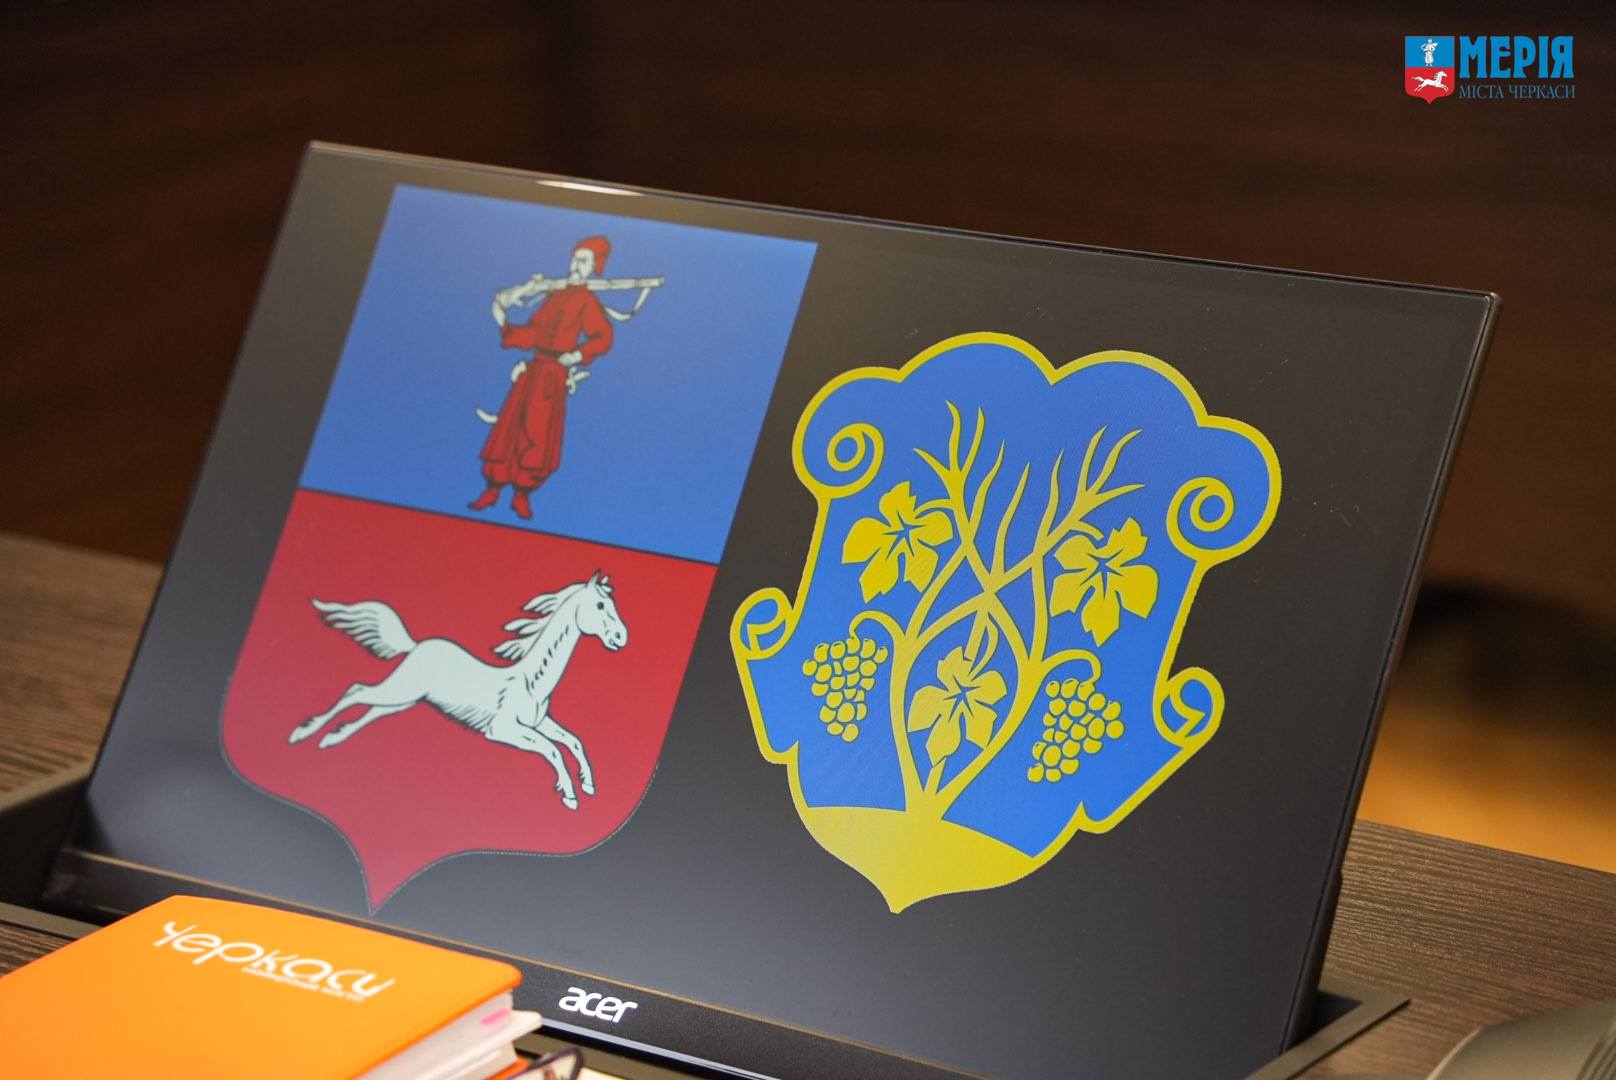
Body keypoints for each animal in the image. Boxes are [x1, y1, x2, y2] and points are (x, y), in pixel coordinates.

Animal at [288, 571, 627, 811]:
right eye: (600, 605)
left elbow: (574, 742)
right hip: (398, 690)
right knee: (355, 691)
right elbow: (552, 749)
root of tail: (416, 645)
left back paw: (333, 738)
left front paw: (588, 785)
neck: (533, 681)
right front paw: (569, 795)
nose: (622, 637)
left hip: (405, 699)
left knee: (371, 710)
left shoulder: (540, 722)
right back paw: (303, 733)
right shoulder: (501, 729)